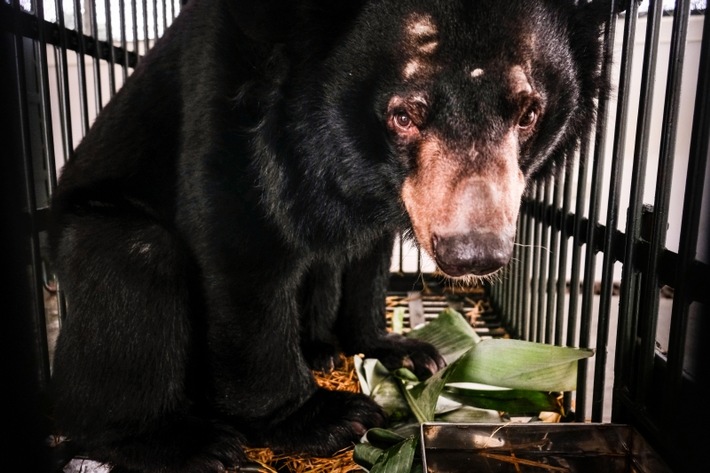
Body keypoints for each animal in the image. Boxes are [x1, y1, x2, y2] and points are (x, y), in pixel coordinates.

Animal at [48, 0, 608, 470]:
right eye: (402, 115)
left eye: (528, 113)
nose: (472, 252)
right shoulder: (229, 86)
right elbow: (239, 241)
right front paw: (325, 417)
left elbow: (368, 258)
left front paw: (400, 349)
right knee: (133, 263)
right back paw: (186, 443)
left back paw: (319, 348)